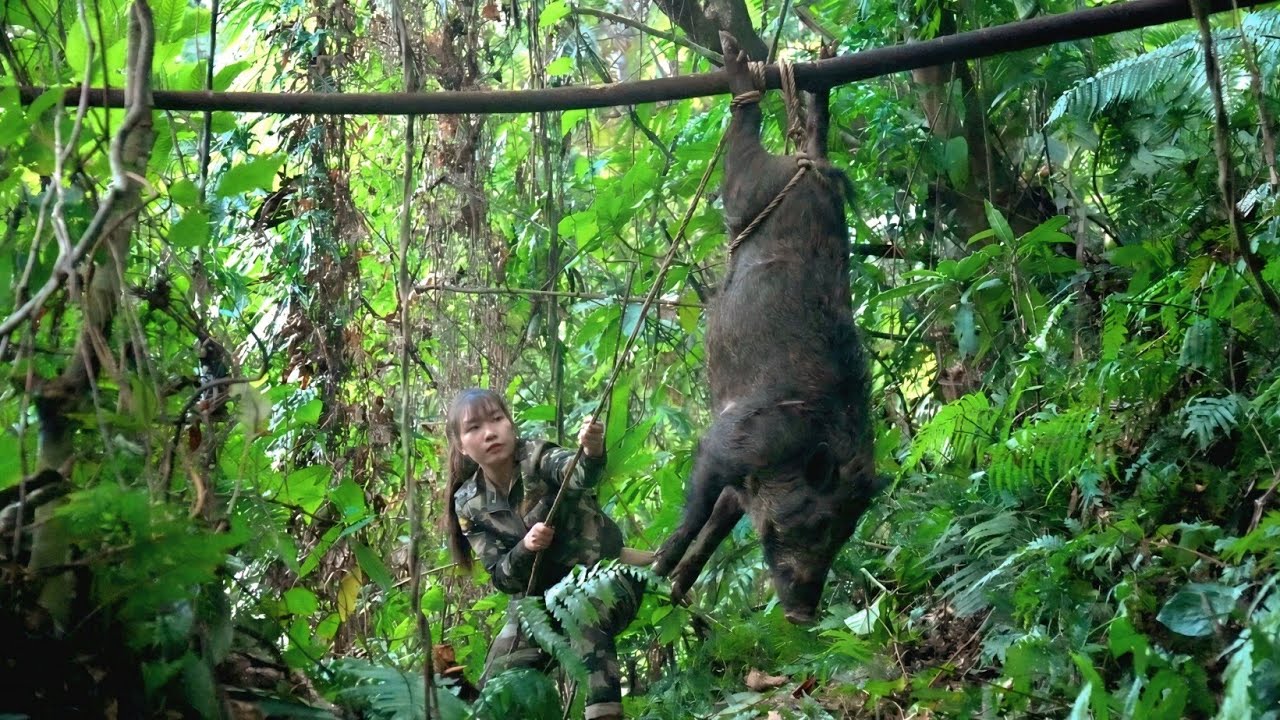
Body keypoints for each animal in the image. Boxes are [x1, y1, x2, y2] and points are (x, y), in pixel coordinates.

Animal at [652, 32, 883, 625]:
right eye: (819, 522)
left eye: (846, 532)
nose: (804, 614)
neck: (794, 452)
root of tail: (808, 169)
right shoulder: (729, 441)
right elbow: (700, 505)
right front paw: (660, 567)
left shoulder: (742, 482)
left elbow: (720, 519)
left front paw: (674, 586)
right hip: (751, 186)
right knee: (743, 134)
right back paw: (741, 66)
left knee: (811, 128)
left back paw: (818, 64)